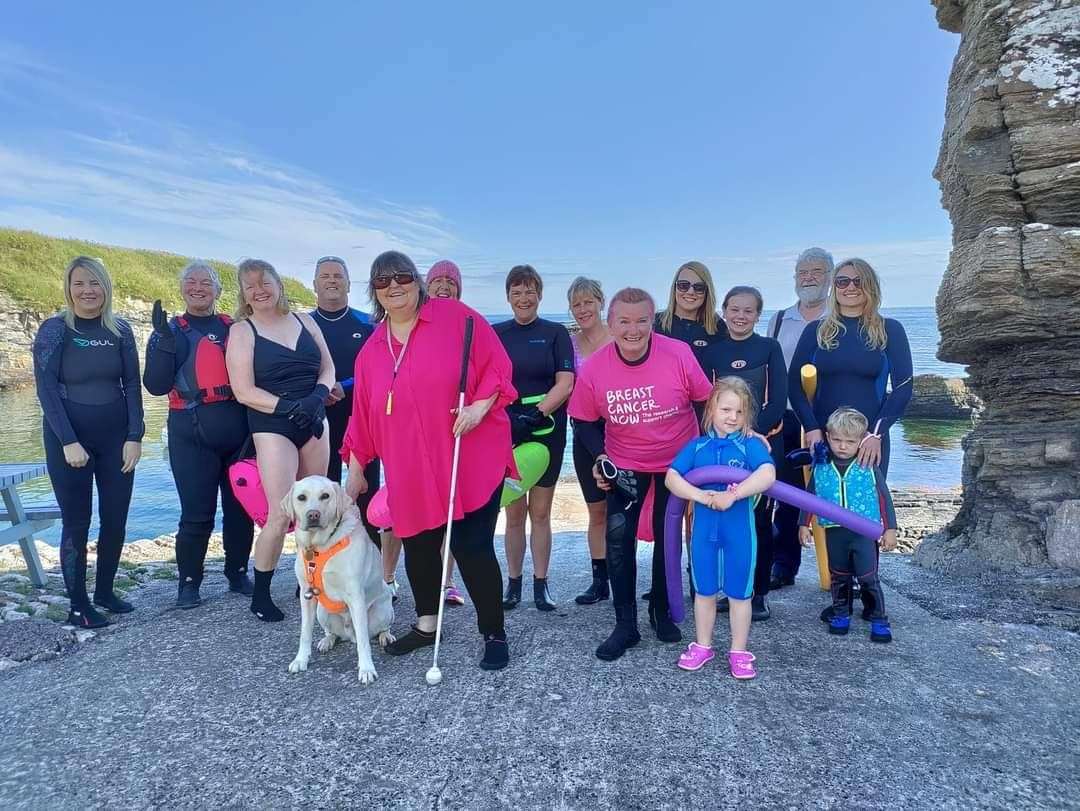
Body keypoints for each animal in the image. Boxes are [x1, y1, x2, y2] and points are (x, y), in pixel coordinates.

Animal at [280, 475, 395, 686]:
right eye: (301, 497)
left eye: (325, 496)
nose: (313, 515)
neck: (320, 546)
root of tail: (349, 634)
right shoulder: (306, 596)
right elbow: (305, 633)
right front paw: (300, 660)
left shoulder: (355, 596)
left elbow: (364, 642)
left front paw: (367, 669)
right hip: (322, 611)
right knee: (332, 633)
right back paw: (327, 641)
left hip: (382, 610)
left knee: (377, 629)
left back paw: (386, 636)